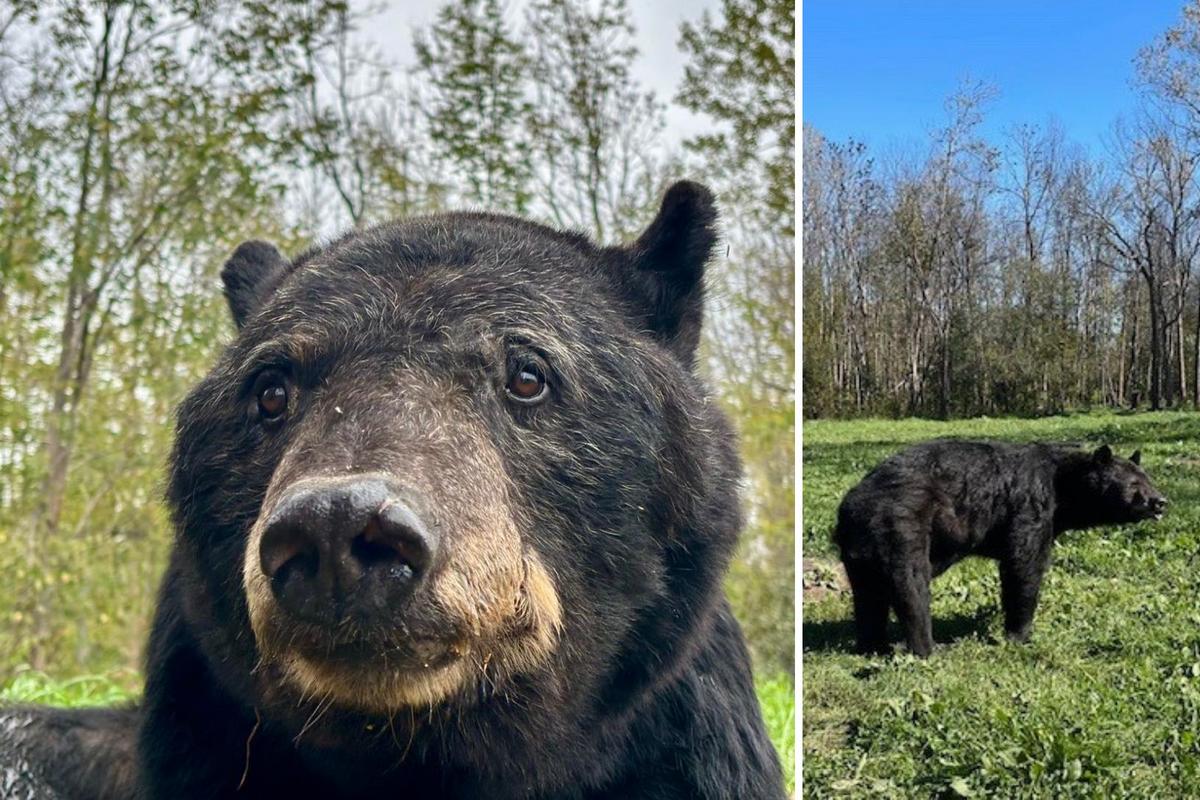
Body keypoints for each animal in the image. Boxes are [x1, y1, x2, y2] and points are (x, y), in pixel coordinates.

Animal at [835, 441, 1161, 662]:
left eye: (1149, 479)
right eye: (1134, 483)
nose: (1160, 501)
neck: (1063, 485)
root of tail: (852, 504)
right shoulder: (1031, 506)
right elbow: (1023, 565)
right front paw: (1020, 635)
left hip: (859, 550)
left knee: (869, 596)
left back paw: (873, 646)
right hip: (902, 525)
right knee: (911, 587)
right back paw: (928, 648)